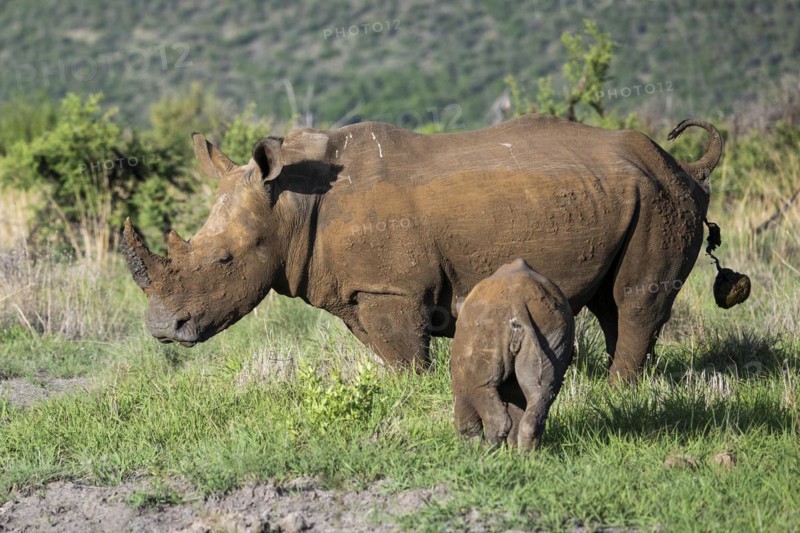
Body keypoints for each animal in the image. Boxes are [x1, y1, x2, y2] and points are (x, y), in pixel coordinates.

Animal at [122, 113, 721, 383]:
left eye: (224, 261)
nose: (162, 328)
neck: (291, 203)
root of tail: (683, 165)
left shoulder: (390, 288)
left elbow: (408, 356)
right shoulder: (361, 290)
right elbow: (390, 353)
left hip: (661, 197)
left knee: (635, 297)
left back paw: (620, 388)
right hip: (629, 195)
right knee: (611, 301)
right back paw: (631, 383)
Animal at [451, 258, 574, 450]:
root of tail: (519, 305)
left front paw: (470, 446)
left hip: (487, 327)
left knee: (475, 387)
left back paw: (485, 450)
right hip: (552, 328)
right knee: (541, 392)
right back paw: (526, 454)